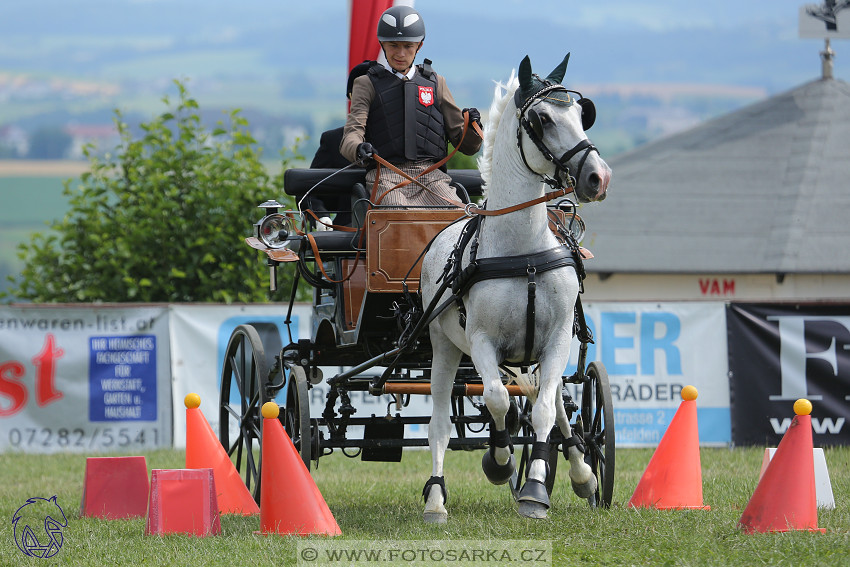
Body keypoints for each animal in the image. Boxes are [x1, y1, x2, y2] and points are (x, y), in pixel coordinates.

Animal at [418, 55, 608, 520]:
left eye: (582, 115)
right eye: (542, 119)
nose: (598, 177)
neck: (523, 253)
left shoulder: (556, 340)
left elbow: (543, 411)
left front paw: (537, 488)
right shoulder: (482, 342)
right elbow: (498, 400)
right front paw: (499, 461)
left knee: (553, 403)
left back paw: (582, 470)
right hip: (443, 345)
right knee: (439, 423)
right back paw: (435, 498)